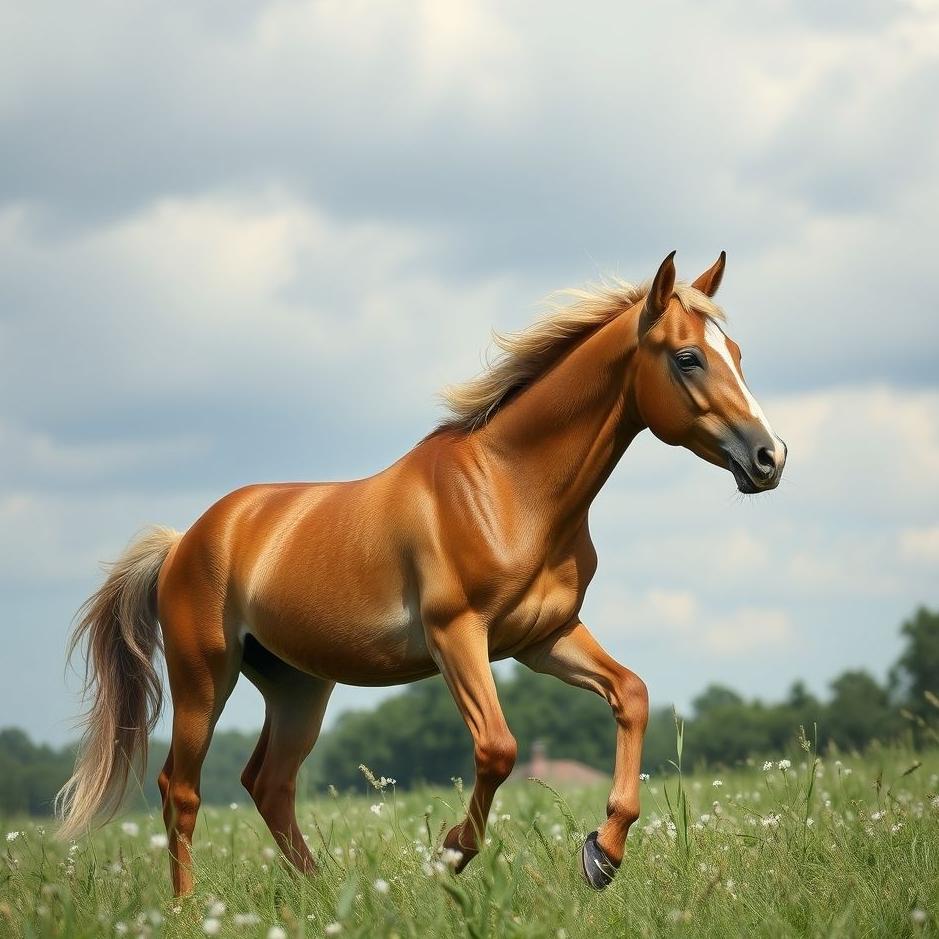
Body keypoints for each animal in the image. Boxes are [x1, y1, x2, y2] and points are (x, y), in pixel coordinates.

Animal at [57, 251, 786, 895]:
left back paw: (326, 893)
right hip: (204, 676)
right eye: (688, 356)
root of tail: (186, 539)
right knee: (180, 788)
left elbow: (630, 694)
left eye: (738, 352)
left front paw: (600, 855)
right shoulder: (455, 636)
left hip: (297, 685)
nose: (768, 456)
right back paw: (188, 905)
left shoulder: (543, 638)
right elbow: (497, 748)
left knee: (268, 783)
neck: (508, 490)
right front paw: (449, 856)